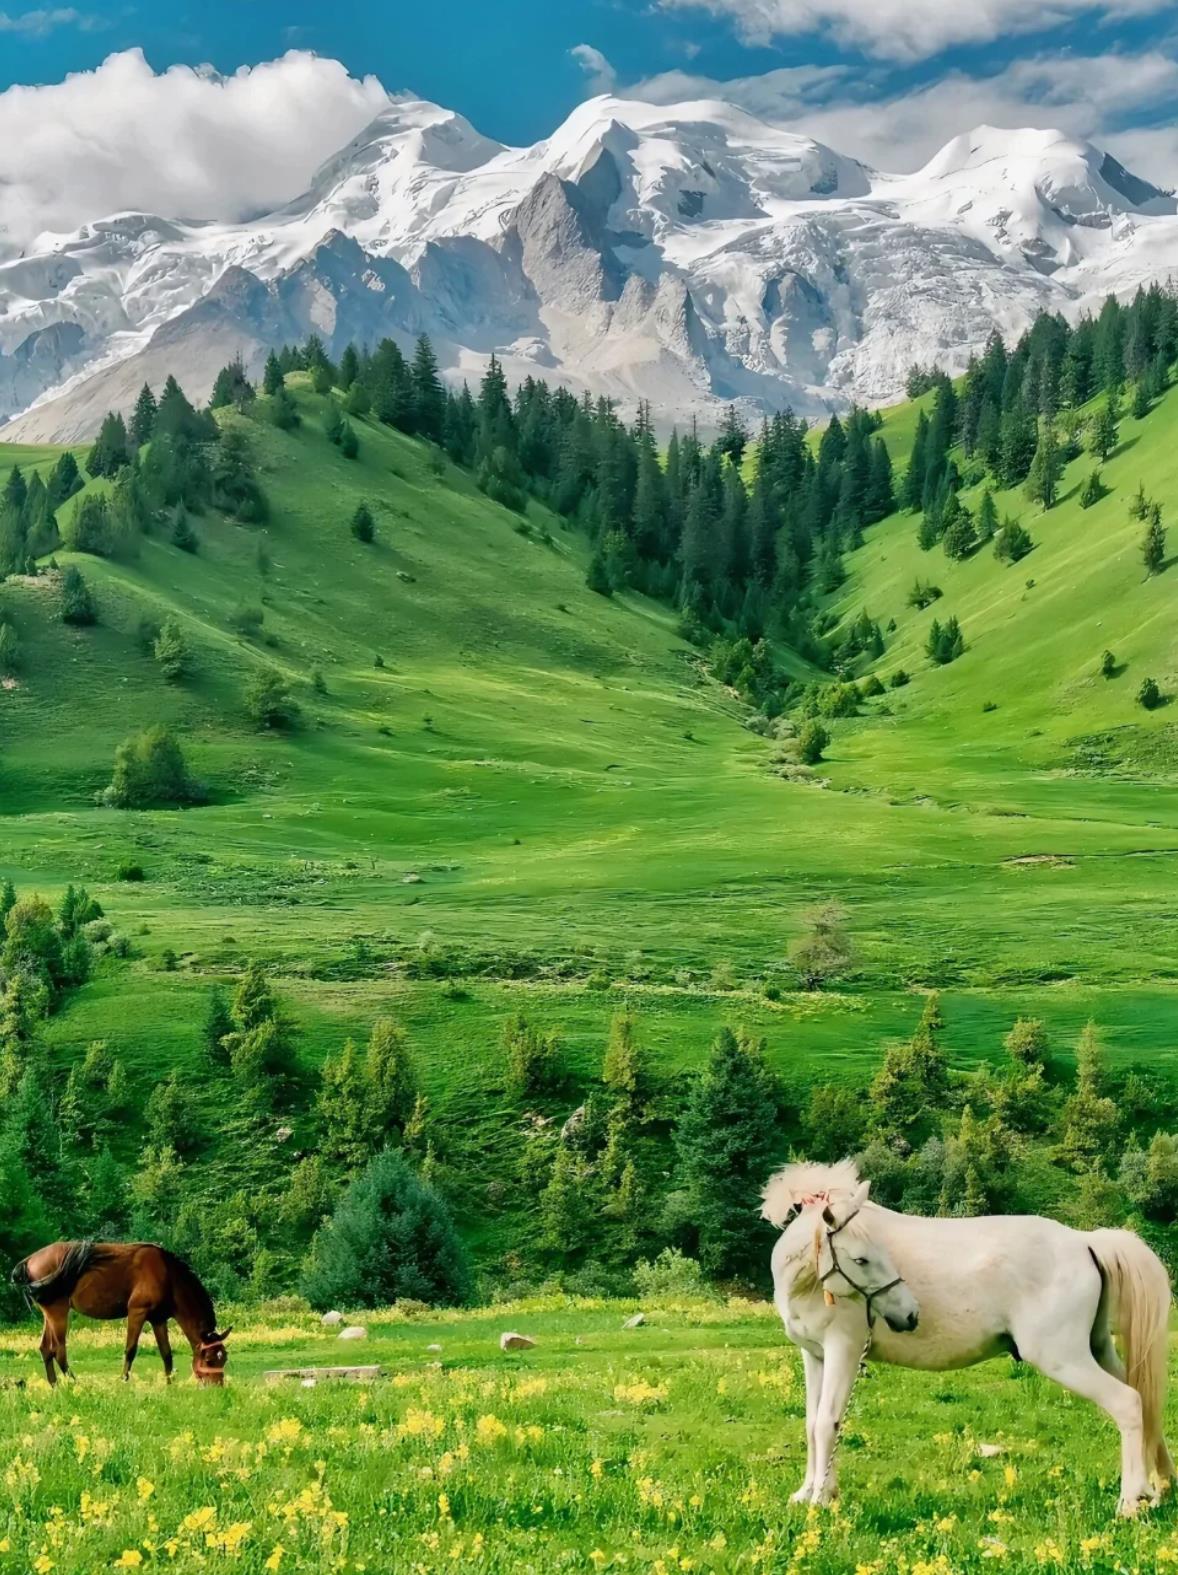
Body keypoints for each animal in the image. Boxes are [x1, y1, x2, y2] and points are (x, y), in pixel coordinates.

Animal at [9, 1241, 233, 1392]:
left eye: (223, 1358)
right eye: (210, 1359)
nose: (217, 1387)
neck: (167, 1274)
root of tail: (29, 1261)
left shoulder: (158, 1319)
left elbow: (166, 1353)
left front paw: (170, 1385)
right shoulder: (137, 1313)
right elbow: (130, 1350)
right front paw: (124, 1381)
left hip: (50, 1315)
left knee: (46, 1349)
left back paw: (55, 1386)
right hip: (58, 1313)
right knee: (59, 1351)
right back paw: (76, 1384)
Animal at [765, 1159, 1171, 1512]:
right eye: (862, 1259)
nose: (909, 1313)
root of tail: (1084, 1241)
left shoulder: (843, 1351)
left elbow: (827, 1422)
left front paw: (821, 1498)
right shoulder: (815, 1355)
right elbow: (811, 1423)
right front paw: (808, 1493)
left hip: (1065, 1359)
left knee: (1127, 1404)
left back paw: (1130, 1503)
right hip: (1098, 1350)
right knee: (1146, 1405)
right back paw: (1155, 1489)